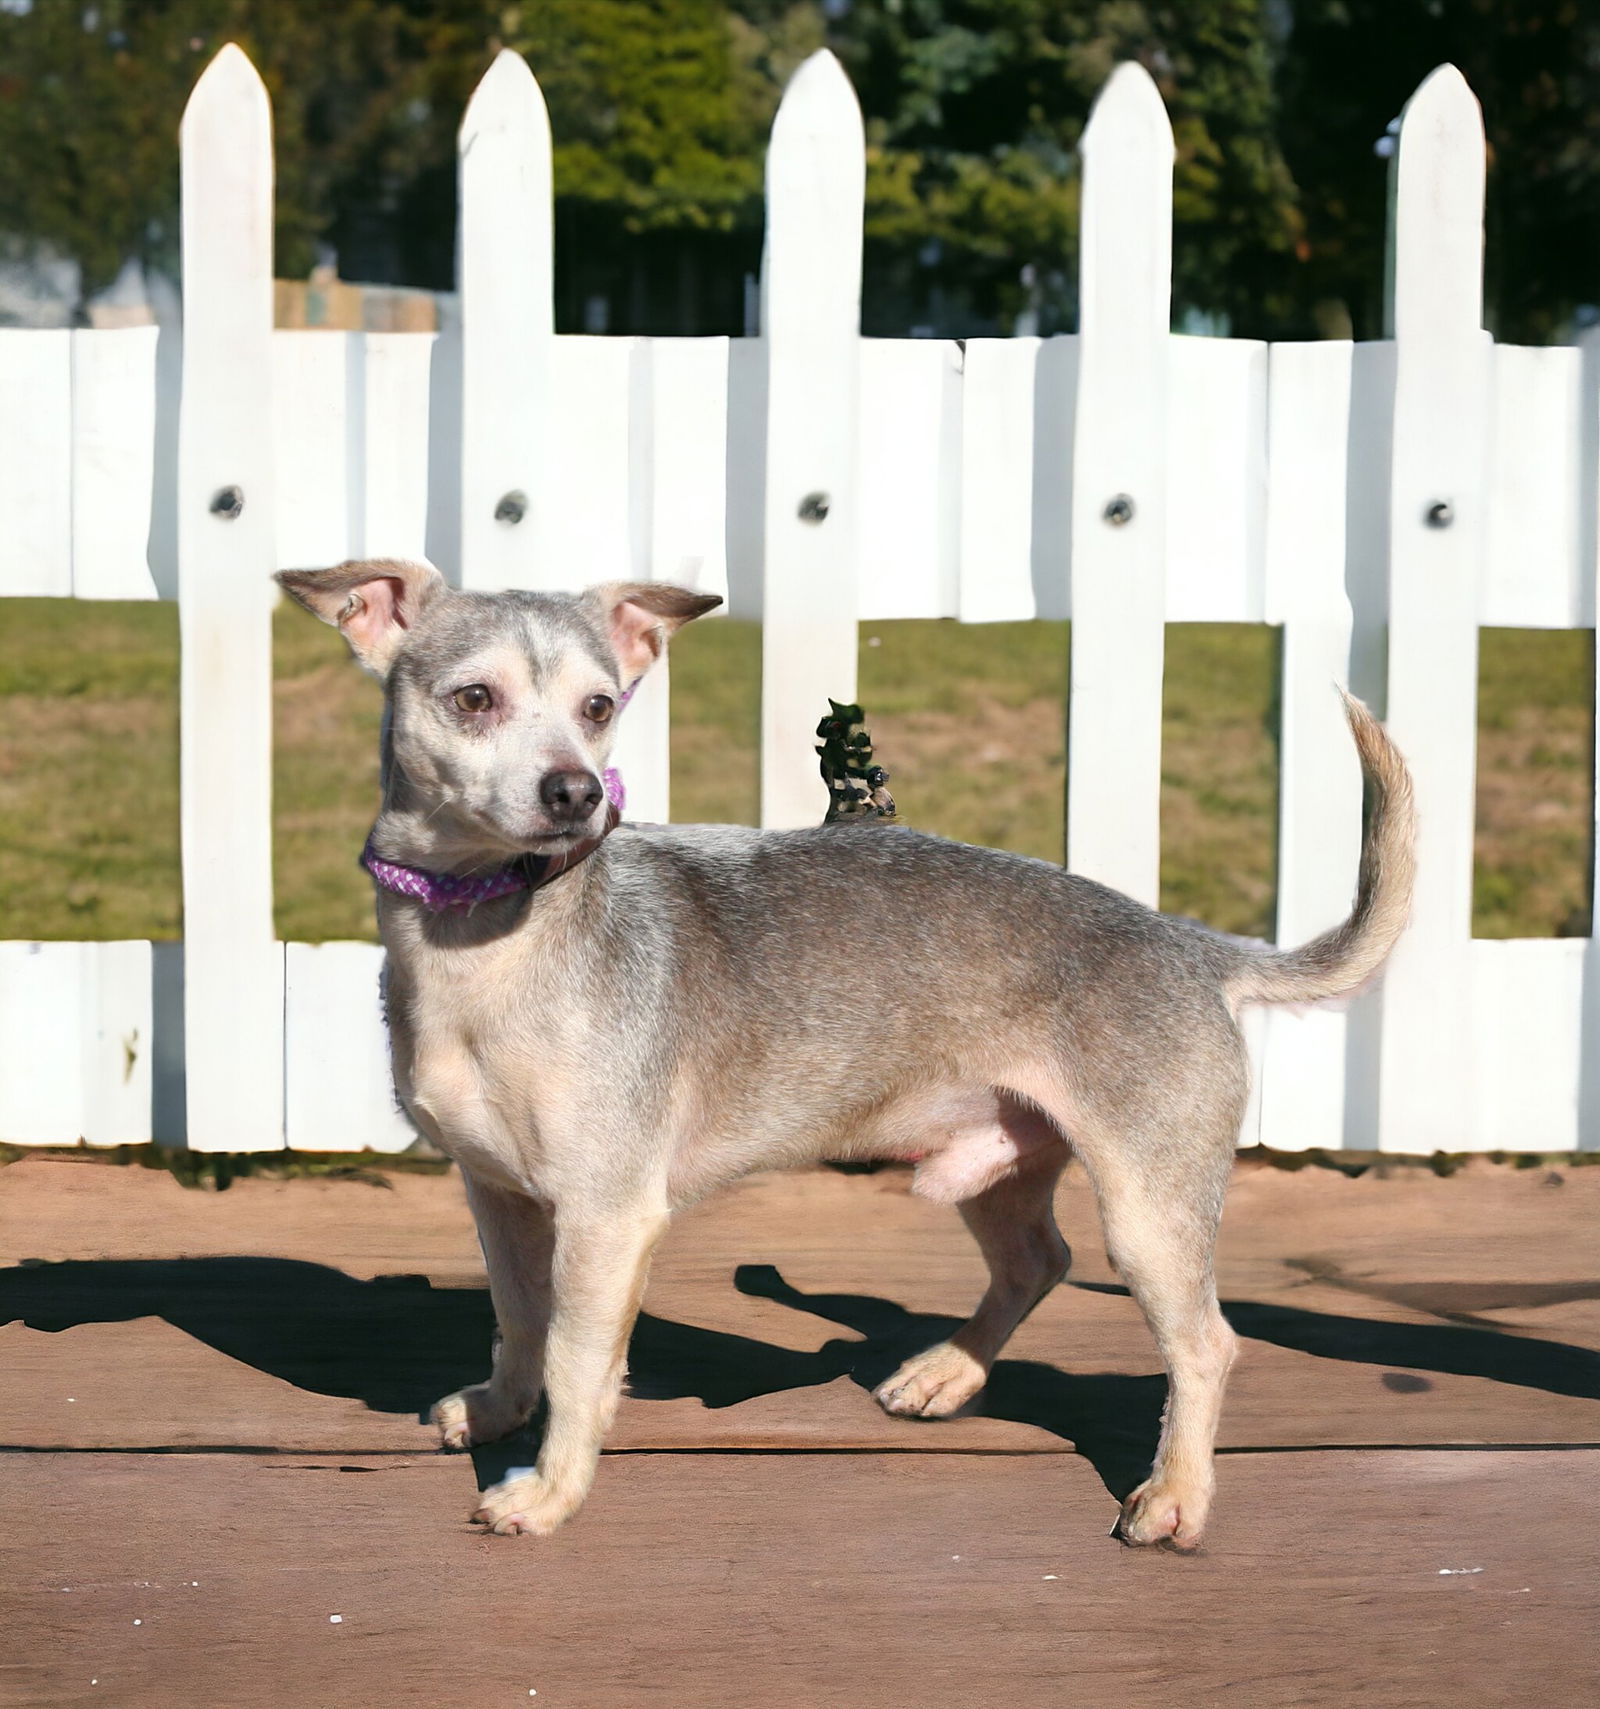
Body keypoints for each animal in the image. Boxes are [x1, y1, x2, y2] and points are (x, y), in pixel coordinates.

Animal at [271, 560, 1415, 1551]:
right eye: (474, 699)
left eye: (600, 708)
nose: (577, 793)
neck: (488, 932)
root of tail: (1198, 944)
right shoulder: (499, 1195)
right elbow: (516, 1322)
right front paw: (499, 1411)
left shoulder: (605, 1214)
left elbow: (576, 1360)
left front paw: (549, 1491)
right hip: (998, 1169)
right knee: (1037, 1260)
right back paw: (946, 1373)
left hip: (1149, 1210)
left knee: (1203, 1343)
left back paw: (1174, 1493)